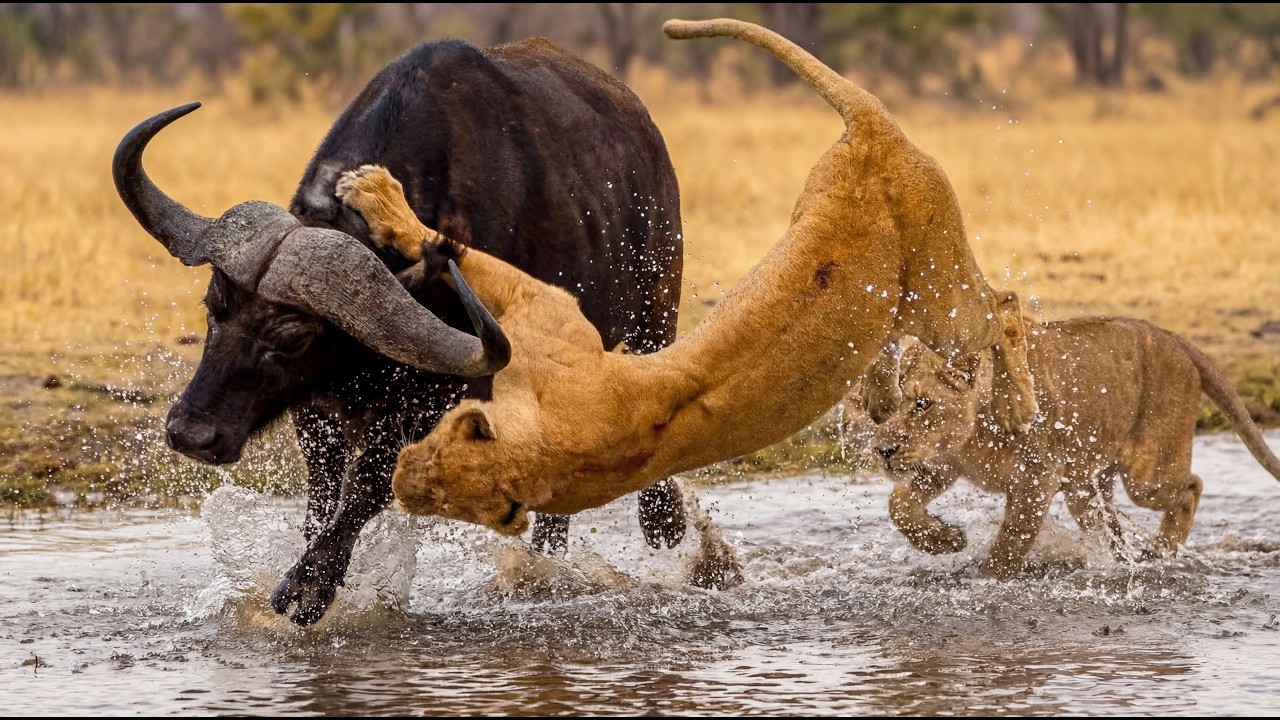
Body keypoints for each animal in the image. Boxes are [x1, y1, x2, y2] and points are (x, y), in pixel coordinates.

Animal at [332, 17, 1040, 537]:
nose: (397, 480)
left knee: (1003, 310)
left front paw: (374, 192)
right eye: (431, 487)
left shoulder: (552, 315)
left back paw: (1022, 407)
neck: (552, 449)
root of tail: (871, 126)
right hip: (874, 270)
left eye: (439, 456)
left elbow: (458, 250)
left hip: (940, 292)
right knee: (909, 338)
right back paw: (882, 400)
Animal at [871, 319, 1280, 580]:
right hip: (1085, 488)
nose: (882, 450)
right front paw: (946, 540)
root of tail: (1172, 336)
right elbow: (899, 505)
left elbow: (1011, 538)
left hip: (1147, 475)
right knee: (1111, 531)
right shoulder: (943, 465)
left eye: (923, 404)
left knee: (1192, 485)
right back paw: (1128, 561)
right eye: (893, 404)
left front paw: (986, 580)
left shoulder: (1036, 478)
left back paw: (1162, 551)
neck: (971, 436)